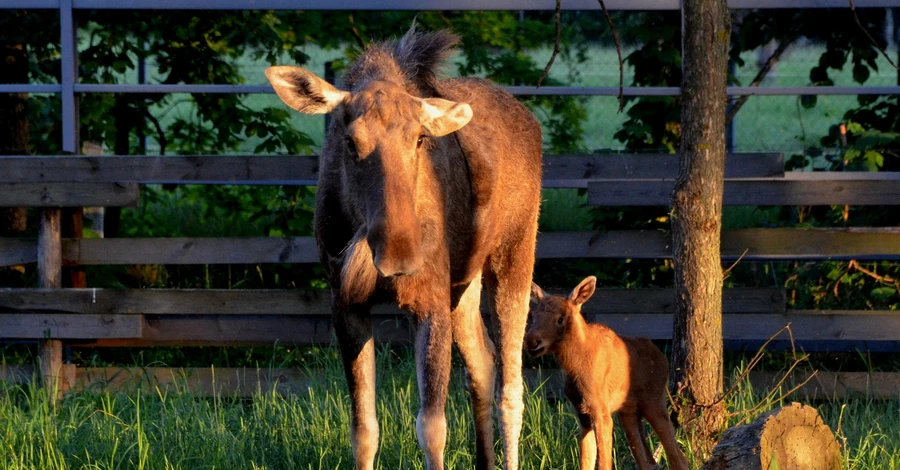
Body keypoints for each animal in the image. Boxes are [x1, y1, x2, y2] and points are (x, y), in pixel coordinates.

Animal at [264, 24, 536, 470]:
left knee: (512, 391)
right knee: (483, 362)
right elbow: (364, 430)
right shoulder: (346, 302)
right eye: (350, 141)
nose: (399, 255)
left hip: (515, 254)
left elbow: (432, 428)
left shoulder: (429, 300)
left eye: (421, 139)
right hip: (463, 284)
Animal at [524, 278, 684, 470]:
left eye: (561, 318)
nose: (531, 341)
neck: (574, 366)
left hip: (654, 401)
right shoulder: (582, 414)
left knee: (677, 457)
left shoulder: (601, 411)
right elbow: (586, 462)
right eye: (533, 315)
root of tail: (663, 358)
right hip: (629, 412)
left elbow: (604, 463)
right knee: (650, 462)